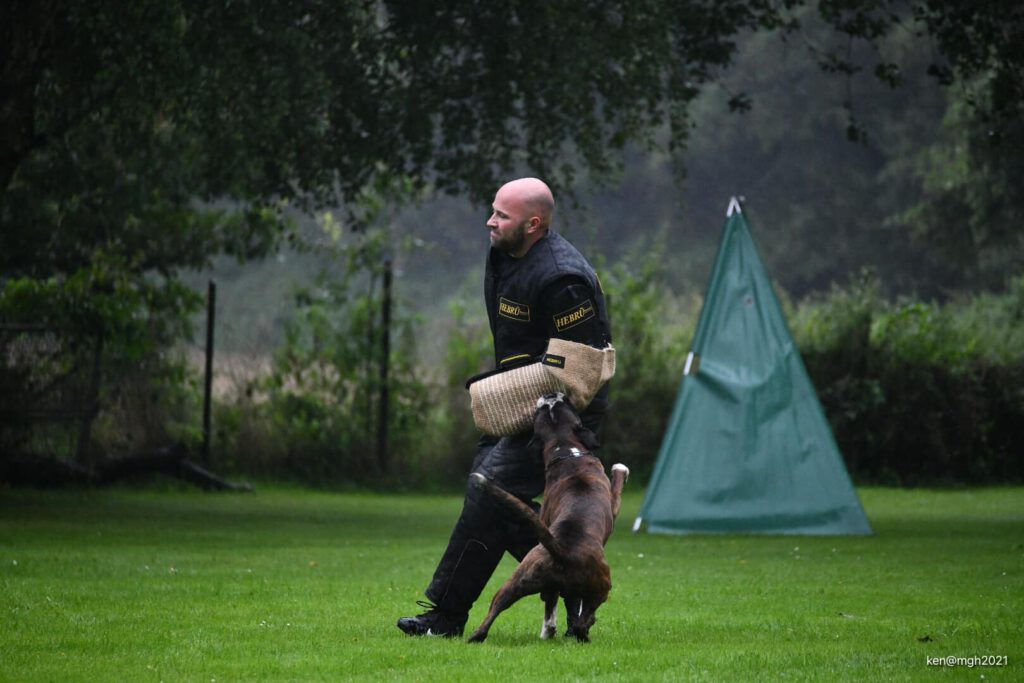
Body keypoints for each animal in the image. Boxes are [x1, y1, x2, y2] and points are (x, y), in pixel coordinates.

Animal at [464, 393, 622, 643]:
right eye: (565, 403)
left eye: (551, 409)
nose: (551, 395)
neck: (565, 450)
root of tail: (563, 551)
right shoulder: (613, 502)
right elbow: (618, 481)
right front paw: (620, 468)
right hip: (602, 586)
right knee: (582, 621)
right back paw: (584, 632)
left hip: (515, 583)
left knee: (495, 614)